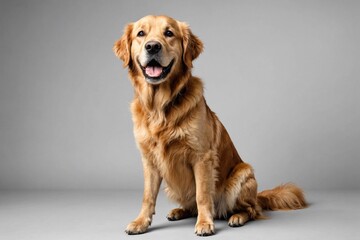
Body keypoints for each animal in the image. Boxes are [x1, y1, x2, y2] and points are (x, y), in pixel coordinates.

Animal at [114, 15, 306, 236]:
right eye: (141, 33)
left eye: (169, 33)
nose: (152, 46)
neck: (160, 106)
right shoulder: (149, 161)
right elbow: (147, 196)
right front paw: (141, 222)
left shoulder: (202, 157)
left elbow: (203, 195)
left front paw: (205, 223)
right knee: (192, 205)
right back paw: (179, 211)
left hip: (243, 175)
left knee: (252, 210)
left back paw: (237, 217)